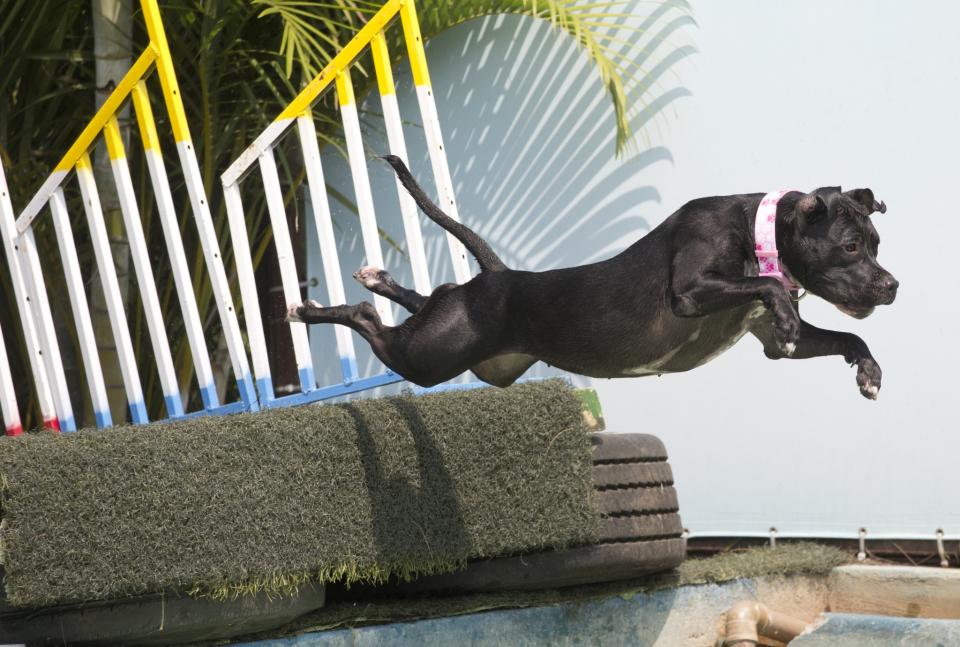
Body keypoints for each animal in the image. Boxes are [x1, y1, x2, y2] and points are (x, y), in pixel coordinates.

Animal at [288, 158, 896, 400]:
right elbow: (768, 291)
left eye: (877, 243)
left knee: (425, 297)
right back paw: (309, 309)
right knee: (368, 320)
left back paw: (378, 279)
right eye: (849, 245)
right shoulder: (690, 291)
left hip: (451, 337)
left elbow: (847, 335)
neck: (759, 229)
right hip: (427, 359)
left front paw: (868, 371)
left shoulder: (769, 341)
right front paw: (789, 312)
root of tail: (499, 276)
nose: (891, 286)